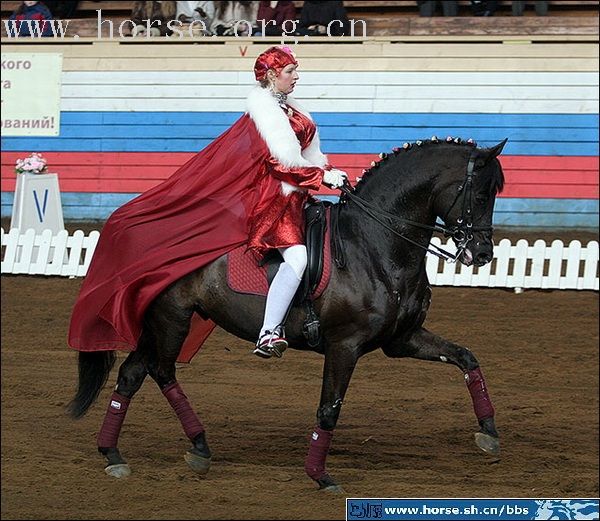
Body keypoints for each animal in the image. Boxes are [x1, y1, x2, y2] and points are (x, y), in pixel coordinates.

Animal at [69, 136, 506, 490]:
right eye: (479, 194)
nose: (482, 253)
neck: (374, 246)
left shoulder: (402, 340)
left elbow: (467, 357)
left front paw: (488, 430)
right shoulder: (344, 346)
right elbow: (329, 410)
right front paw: (320, 475)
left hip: (163, 323)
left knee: (133, 374)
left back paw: (123, 453)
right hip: (172, 320)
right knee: (159, 372)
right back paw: (189, 446)